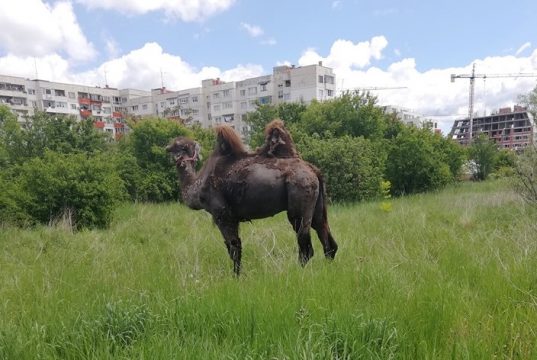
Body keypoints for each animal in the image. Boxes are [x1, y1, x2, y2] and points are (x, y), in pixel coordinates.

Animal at [165, 124, 338, 276]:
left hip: (300, 199)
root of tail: (313, 170)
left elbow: (233, 248)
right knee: (326, 238)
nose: (166, 147)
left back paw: (297, 274)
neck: (197, 185)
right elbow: (235, 247)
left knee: (305, 245)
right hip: (317, 204)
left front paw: (236, 278)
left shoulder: (222, 214)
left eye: (178, 145)